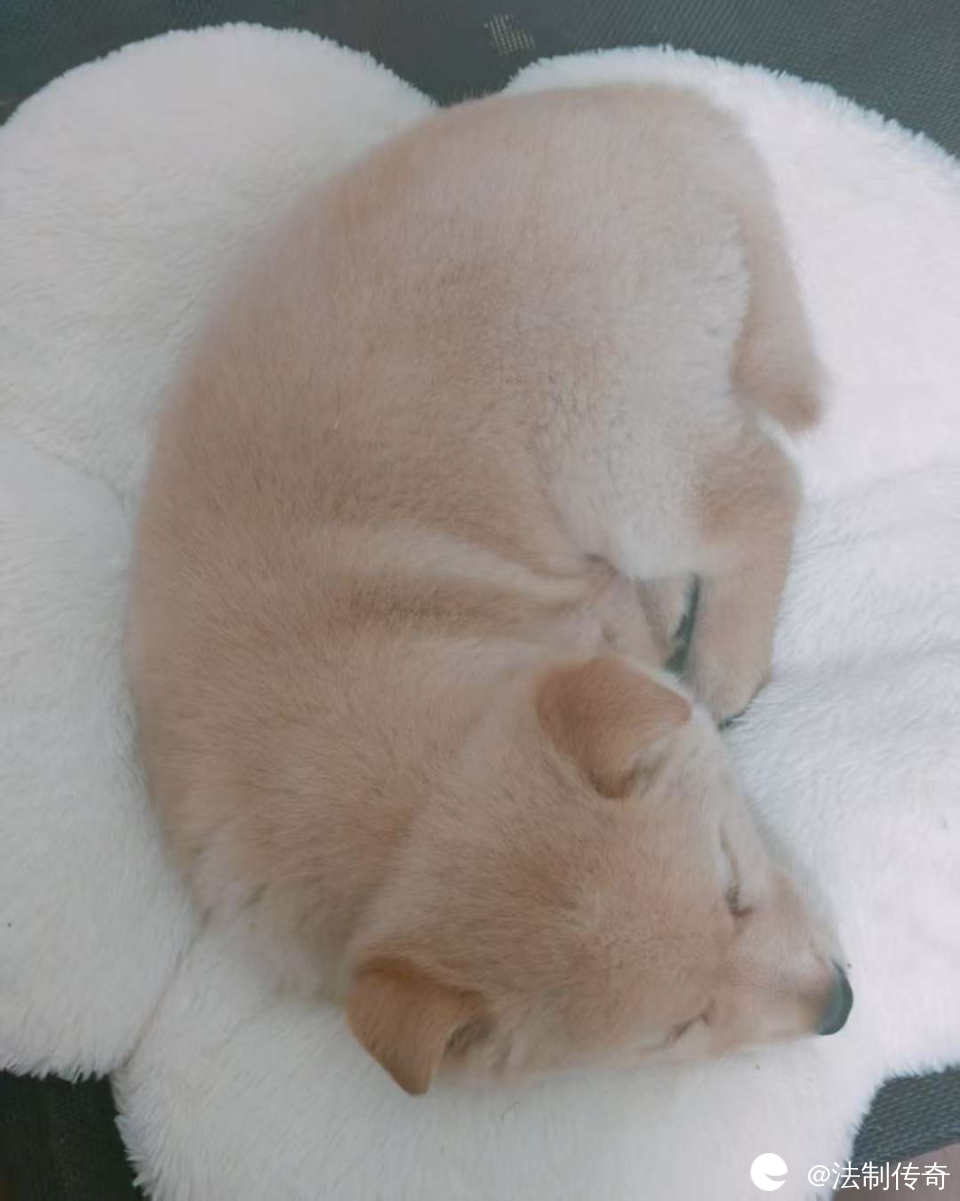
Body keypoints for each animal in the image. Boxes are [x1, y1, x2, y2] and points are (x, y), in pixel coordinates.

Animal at [129, 83, 850, 1096]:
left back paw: (722, 663)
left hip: (610, 437)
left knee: (756, 489)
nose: (839, 1009)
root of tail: (670, 108)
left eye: (734, 890)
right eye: (678, 1031)